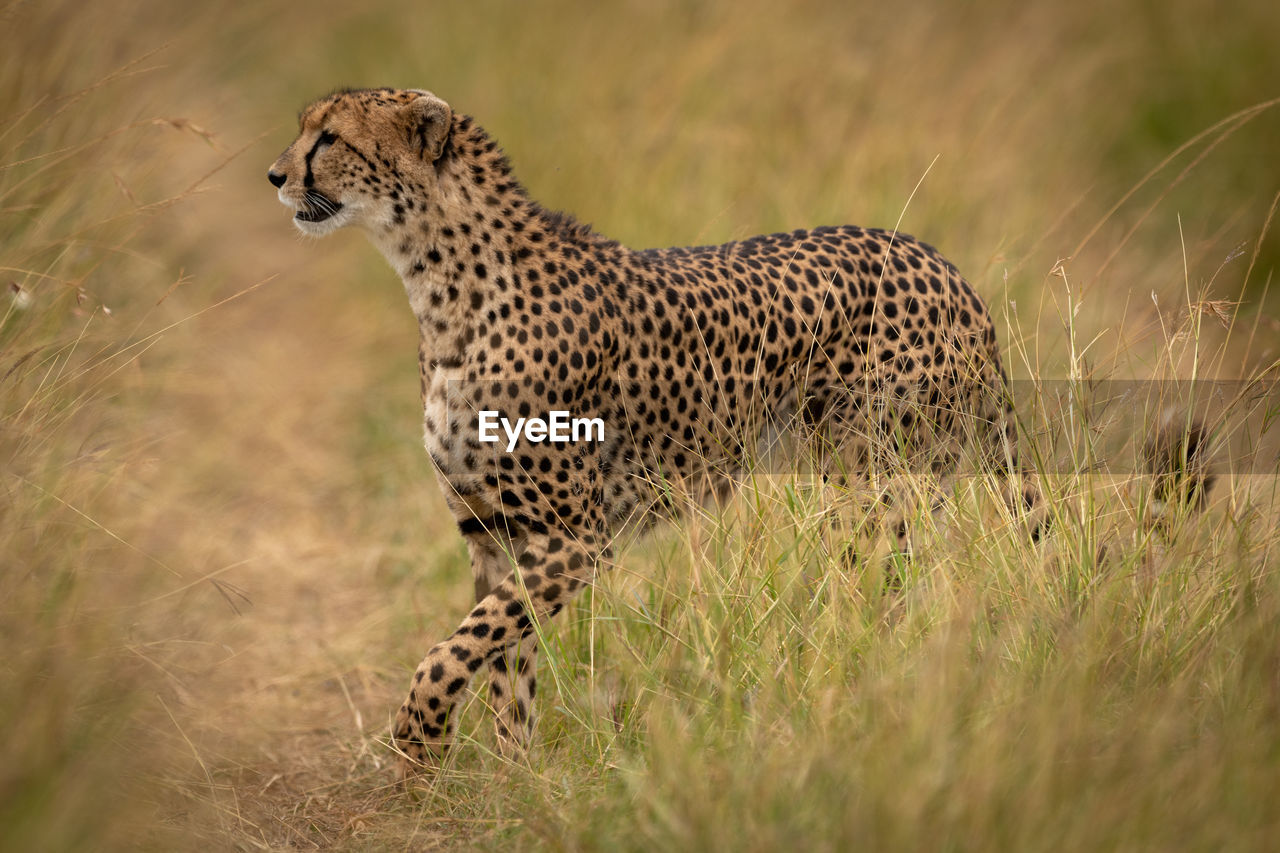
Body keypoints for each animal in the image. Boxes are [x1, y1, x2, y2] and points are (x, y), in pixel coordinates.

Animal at [270, 89, 1029, 773]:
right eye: (307, 129)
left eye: (330, 137)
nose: (275, 176)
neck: (440, 284)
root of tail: (942, 266)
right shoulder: (495, 531)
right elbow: (502, 659)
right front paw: (515, 779)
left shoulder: (574, 538)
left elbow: (458, 646)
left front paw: (421, 739)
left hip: (872, 493)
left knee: (883, 604)